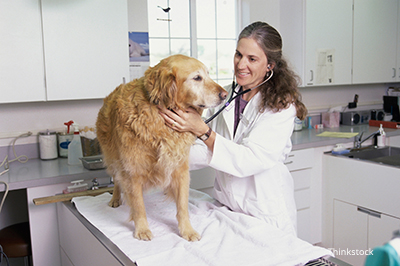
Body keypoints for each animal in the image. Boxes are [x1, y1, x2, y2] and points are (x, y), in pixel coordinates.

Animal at [96, 54, 228, 241]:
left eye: (208, 75)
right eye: (197, 78)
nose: (225, 94)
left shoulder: (180, 168)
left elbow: (182, 206)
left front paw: (187, 230)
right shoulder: (133, 170)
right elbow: (138, 206)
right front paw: (142, 229)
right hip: (113, 157)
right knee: (116, 180)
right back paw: (115, 198)